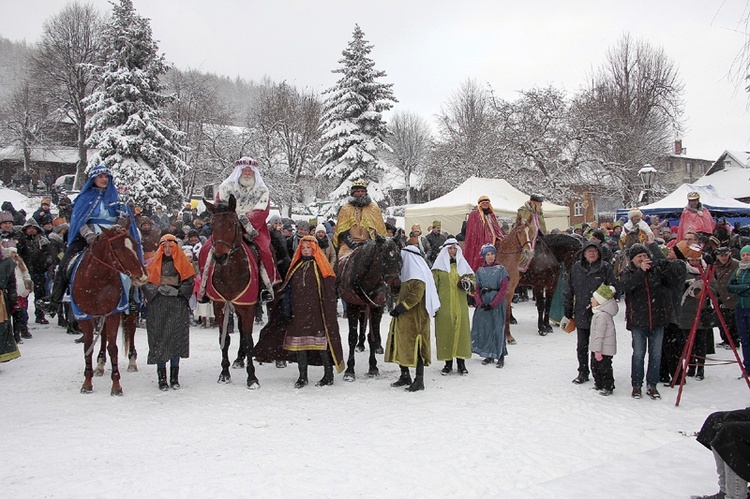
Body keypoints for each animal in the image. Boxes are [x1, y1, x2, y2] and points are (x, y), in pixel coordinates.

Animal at [72, 221, 149, 396]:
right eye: (118, 249)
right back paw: (99, 365)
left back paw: (132, 362)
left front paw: (116, 385)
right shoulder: (84, 316)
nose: (142, 276)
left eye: (135, 245)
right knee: (103, 335)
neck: (96, 280)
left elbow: (113, 348)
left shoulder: (113, 313)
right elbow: (88, 347)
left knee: (131, 330)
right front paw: (87, 382)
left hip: (130, 310)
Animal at [200, 196, 262, 390]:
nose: (220, 256)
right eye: (212, 224)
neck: (231, 273)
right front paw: (224, 373)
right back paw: (239, 359)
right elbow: (224, 338)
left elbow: (249, 341)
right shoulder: (220, 306)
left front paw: (252, 378)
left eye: (232, 224)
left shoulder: (248, 307)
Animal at [338, 236, 402, 380]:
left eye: (399, 255)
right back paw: (360, 345)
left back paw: (378, 346)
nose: (396, 287)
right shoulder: (352, 307)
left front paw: (373, 367)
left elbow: (372, 336)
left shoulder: (376, 308)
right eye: (383, 256)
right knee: (362, 322)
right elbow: (352, 337)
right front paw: (349, 370)